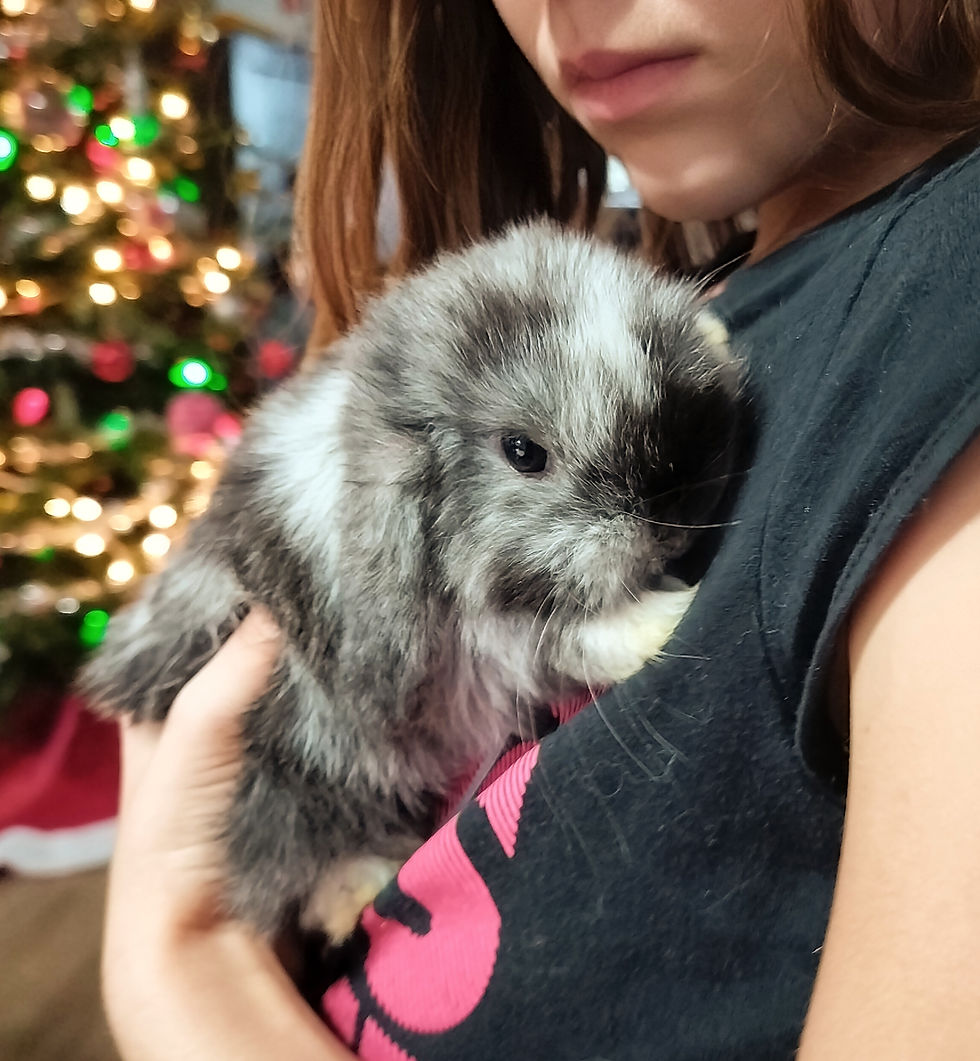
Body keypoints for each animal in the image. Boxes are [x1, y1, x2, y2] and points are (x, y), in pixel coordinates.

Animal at [79, 221, 743, 941]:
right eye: (522, 452)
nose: (671, 521)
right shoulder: (475, 650)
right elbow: (573, 638)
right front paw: (666, 617)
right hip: (286, 764)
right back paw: (358, 891)